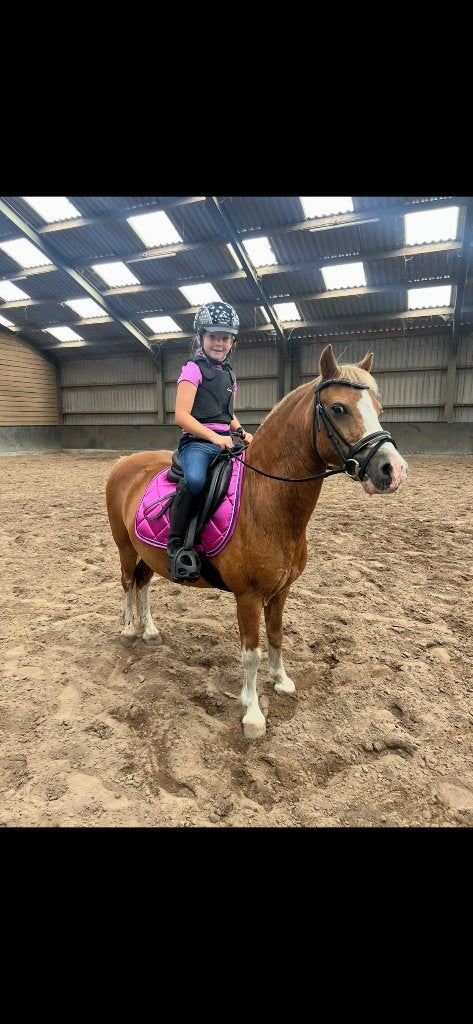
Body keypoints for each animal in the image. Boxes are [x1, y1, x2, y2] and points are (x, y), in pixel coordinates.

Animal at [105, 343, 408, 740]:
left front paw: (281, 681)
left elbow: (276, 636)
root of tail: (124, 463)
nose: (393, 470)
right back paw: (129, 630)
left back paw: (151, 631)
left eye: (378, 409)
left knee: (142, 584)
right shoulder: (247, 596)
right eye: (339, 408)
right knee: (127, 583)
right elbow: (251, 652)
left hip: (148, 555)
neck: (265, 500)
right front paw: (252, 713)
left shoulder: (280, 591)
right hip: (125, 548)